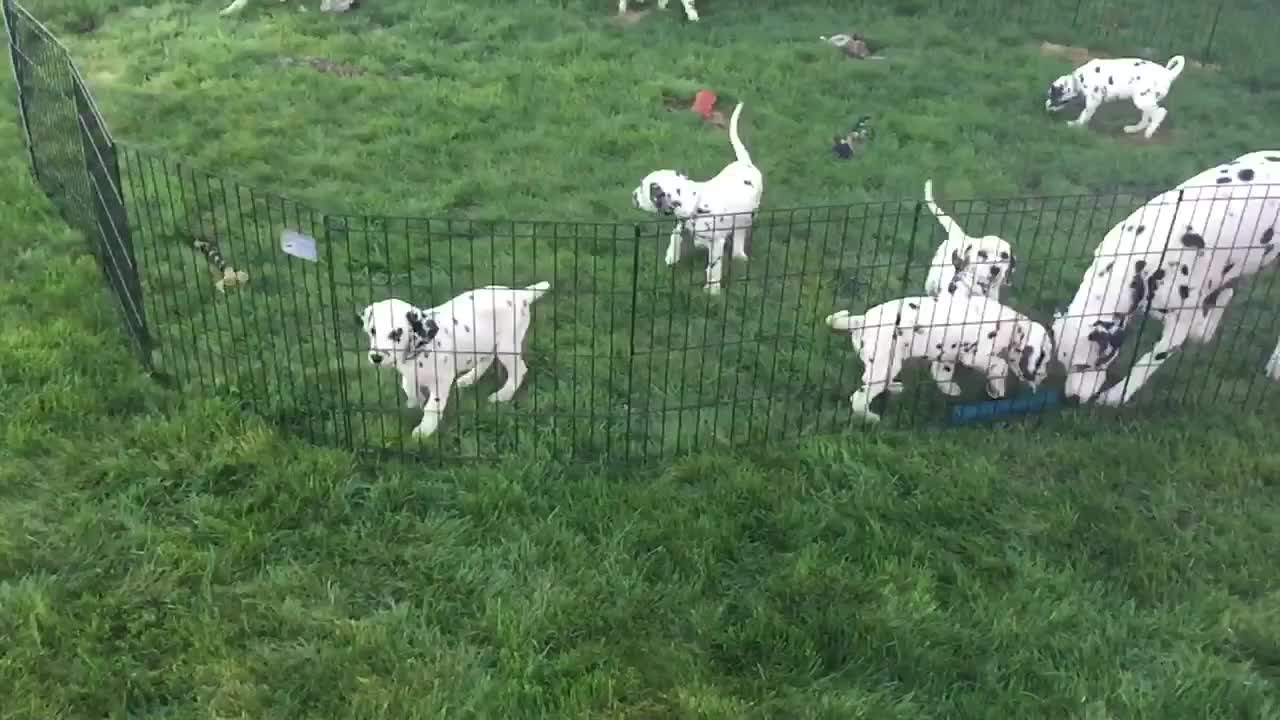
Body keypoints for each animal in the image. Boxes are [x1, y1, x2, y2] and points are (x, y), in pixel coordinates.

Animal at [355, 280, 550, 438]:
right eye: (372, 331)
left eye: (396, 333)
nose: (376, 357)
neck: (420, 349)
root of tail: (520, 294)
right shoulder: (409, 374)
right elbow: (408, 388)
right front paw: (415, 403)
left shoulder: (441, 380)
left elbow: (432, 406)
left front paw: (424, 430)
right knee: (486, 360)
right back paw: (468, 379)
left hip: (507, 346)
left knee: (519, 370)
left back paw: (503, 395)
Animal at [629, 99, 757, 293]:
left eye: (645, 189)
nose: (633, 194)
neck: (697, 202)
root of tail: (745, 163)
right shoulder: (681, 222)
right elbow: (675, 235)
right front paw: (671, 255)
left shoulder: (717, 241)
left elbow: (714, 267)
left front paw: (712, 290)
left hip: (747, 216)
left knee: (740, 232)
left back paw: (738, 253)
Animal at [1044, 53, 1182, 137]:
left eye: (1052, 95)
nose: (1046, 107)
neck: (1079, 79)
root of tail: (1168, 74)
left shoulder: (1093, 100)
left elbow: (1084, 114)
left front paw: (1075, 125)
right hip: (1145, 100)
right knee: (1146, 118)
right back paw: (1133, 129)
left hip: (1142, 99)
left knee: (1160, 113)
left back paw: (1149, 131)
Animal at [1049, 148, 1280, 404]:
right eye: (1065, 363)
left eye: (1091, 364)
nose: (1072, 398)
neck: (1138, 259)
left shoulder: (1179, 324)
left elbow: (1148, 361)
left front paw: (1117, 395)